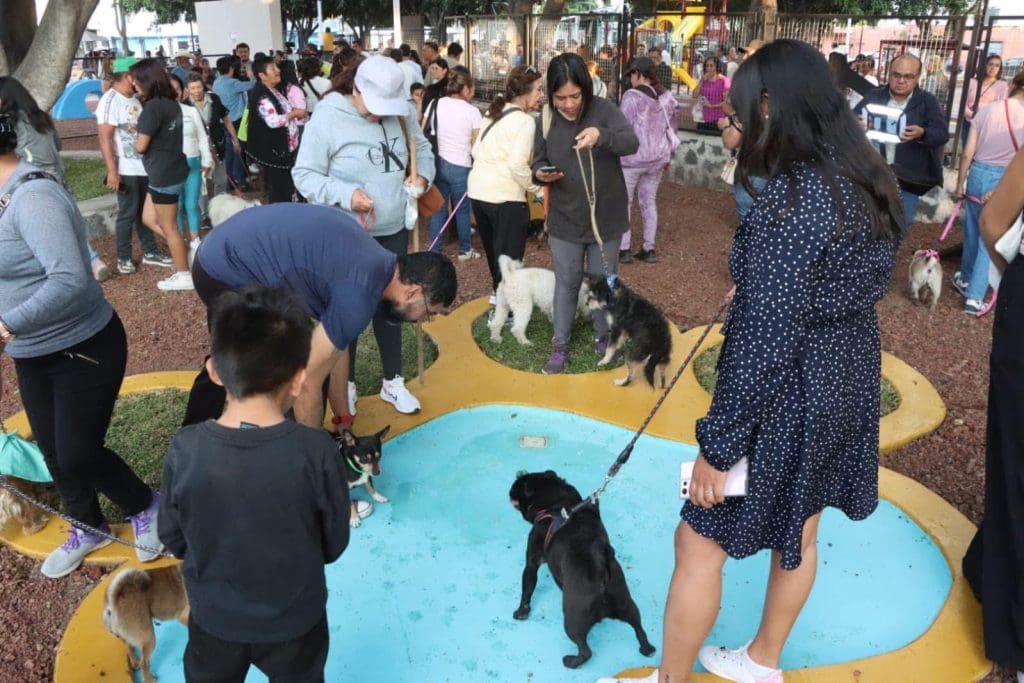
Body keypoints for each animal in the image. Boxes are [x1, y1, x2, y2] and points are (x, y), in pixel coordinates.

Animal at [505, 471, 655, 667]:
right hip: (627, 604)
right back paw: (647, 649)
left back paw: (571, 661)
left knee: (585, 650)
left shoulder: (531, 563)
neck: (557, 502)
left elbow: (527, 590)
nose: (510, 489)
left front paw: (521, 612)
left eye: (518, 486)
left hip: (572, 618)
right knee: (639, 628)